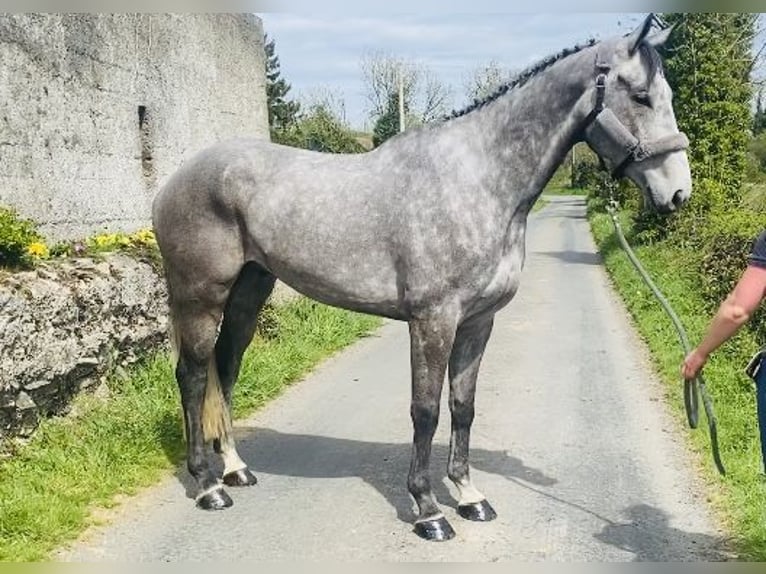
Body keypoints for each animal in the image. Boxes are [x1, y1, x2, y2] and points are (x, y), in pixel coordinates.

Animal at [153, 15, 692, 544]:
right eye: (640, 95)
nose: (678, 192)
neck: (478, 180)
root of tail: (172, 182)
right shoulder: (434, 320)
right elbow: (426, 410)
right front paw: (429, 509)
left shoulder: (478, 322)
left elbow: (463, 405)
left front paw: (471, 496)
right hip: (199, 297)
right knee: (193, 376)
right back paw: (208, 485)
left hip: (249, 292)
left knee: (225, 368)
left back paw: (235, 469)